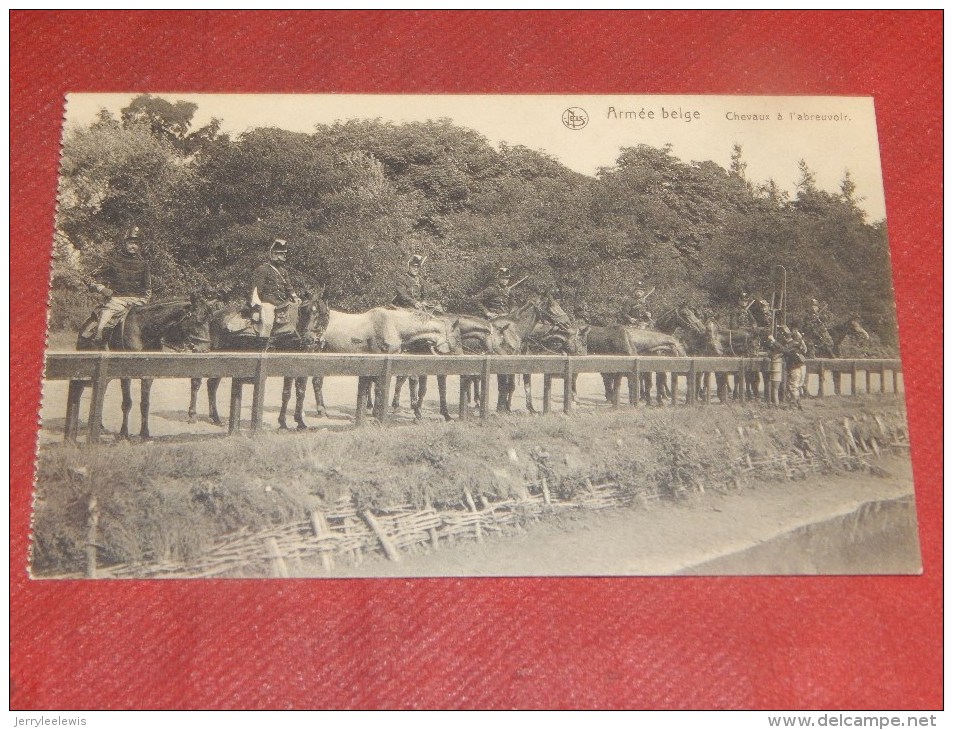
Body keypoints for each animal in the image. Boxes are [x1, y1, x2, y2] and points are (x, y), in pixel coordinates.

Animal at [71, 292, 213, 440]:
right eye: (197, 320)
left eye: (209, 320)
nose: (205, 349)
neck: (142, 330)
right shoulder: (125, 374)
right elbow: (127, 403)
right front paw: (123, 433)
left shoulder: (148, 374)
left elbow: (145, 404)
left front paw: (145, 433)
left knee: (101, 391)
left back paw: (100, 425)